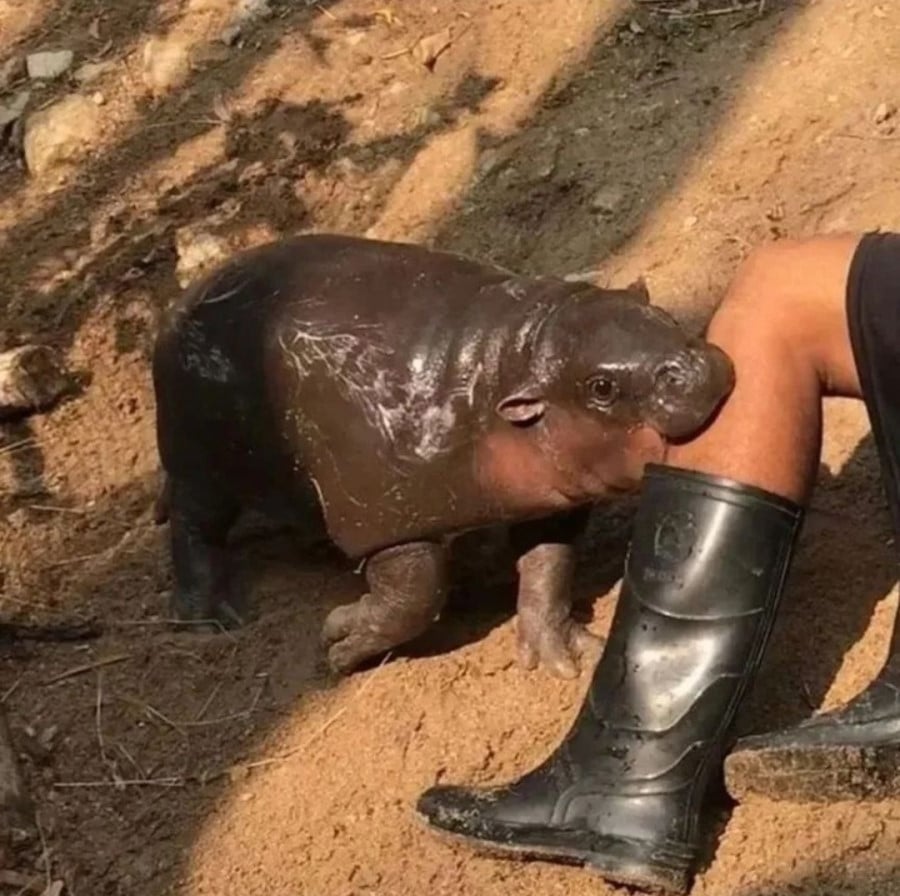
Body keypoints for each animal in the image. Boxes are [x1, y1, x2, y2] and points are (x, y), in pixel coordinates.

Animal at [152, 234, 733, 677]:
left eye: (661, 313)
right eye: (602, 388)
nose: (696, 368)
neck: (510, 364)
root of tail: (181, 302)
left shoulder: (548, 498)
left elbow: (548, 563)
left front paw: (566, 656)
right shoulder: (387, 519)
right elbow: (416, 595)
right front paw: (337, 643)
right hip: (201, 463)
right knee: (192, 525)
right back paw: (210, 620)